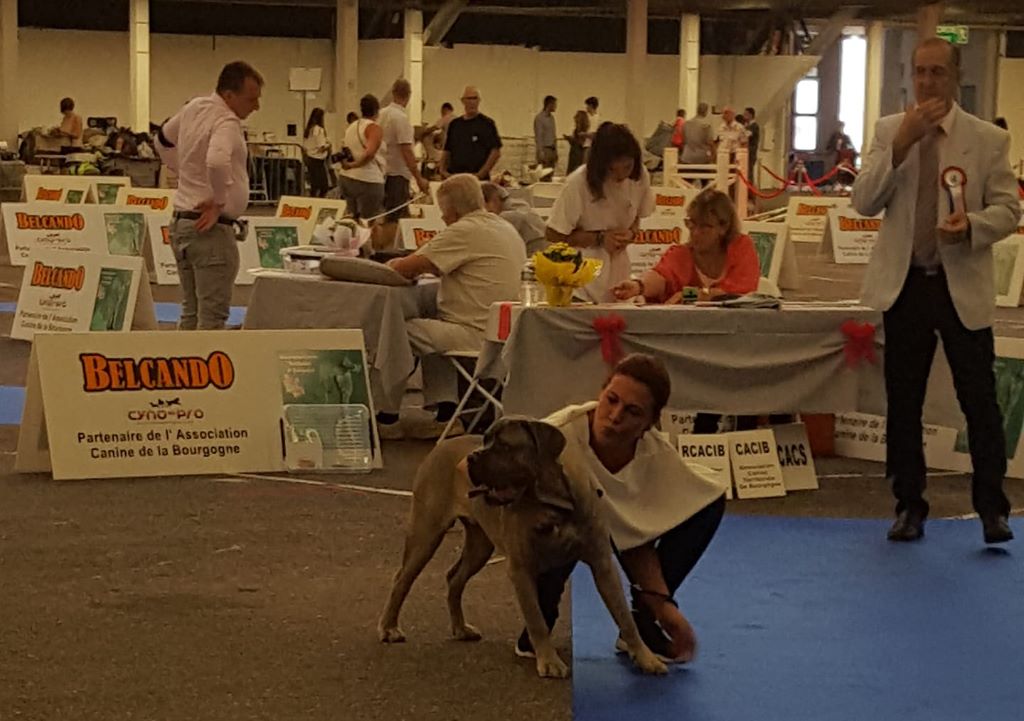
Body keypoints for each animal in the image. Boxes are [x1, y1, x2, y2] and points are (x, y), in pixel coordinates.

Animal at [380, 419, 667, 680]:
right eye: (485, 440)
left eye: (504, 446)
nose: (472, 457)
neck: (553, 504)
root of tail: (441, 446)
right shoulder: (521, 569)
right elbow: (536, 619)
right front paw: (549, 662)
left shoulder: (602, 564)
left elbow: (624, 616)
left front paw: (646, 658)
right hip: (426, 533)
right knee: (402, 579)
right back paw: (389, 628)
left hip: (479, 546)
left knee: (455, 577)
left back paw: (460, 628)